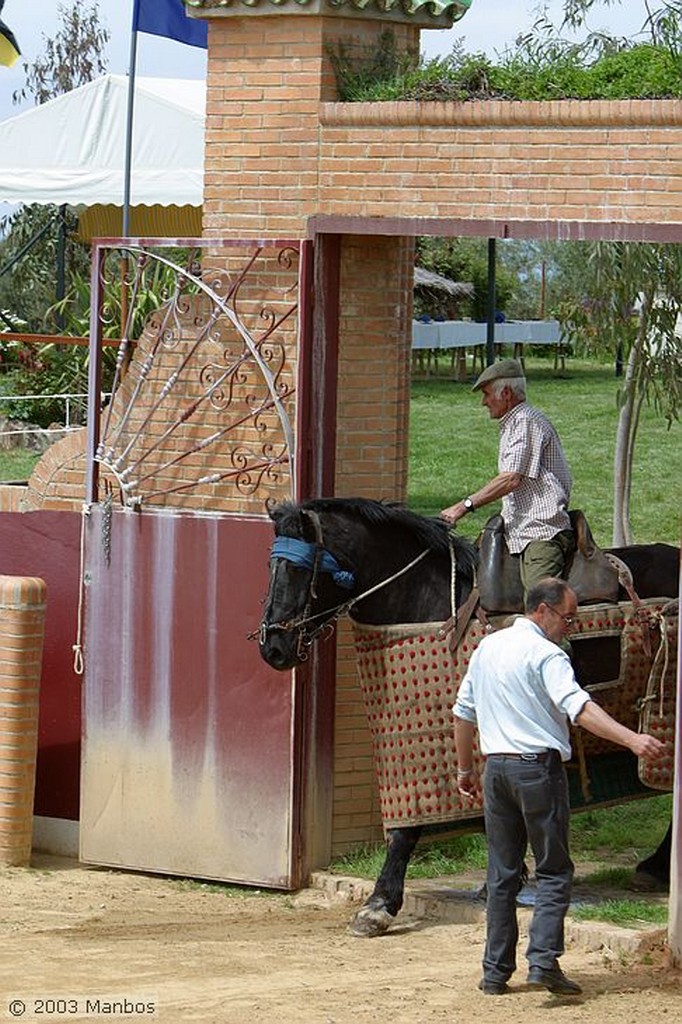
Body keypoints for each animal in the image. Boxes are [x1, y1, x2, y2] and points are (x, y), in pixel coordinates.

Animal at [258, 495, 675, 937]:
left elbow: (408, 828)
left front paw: (379, 904)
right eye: (271, 565)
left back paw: (656, 867)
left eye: (298, 568)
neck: (429, 600)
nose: (273, 647)